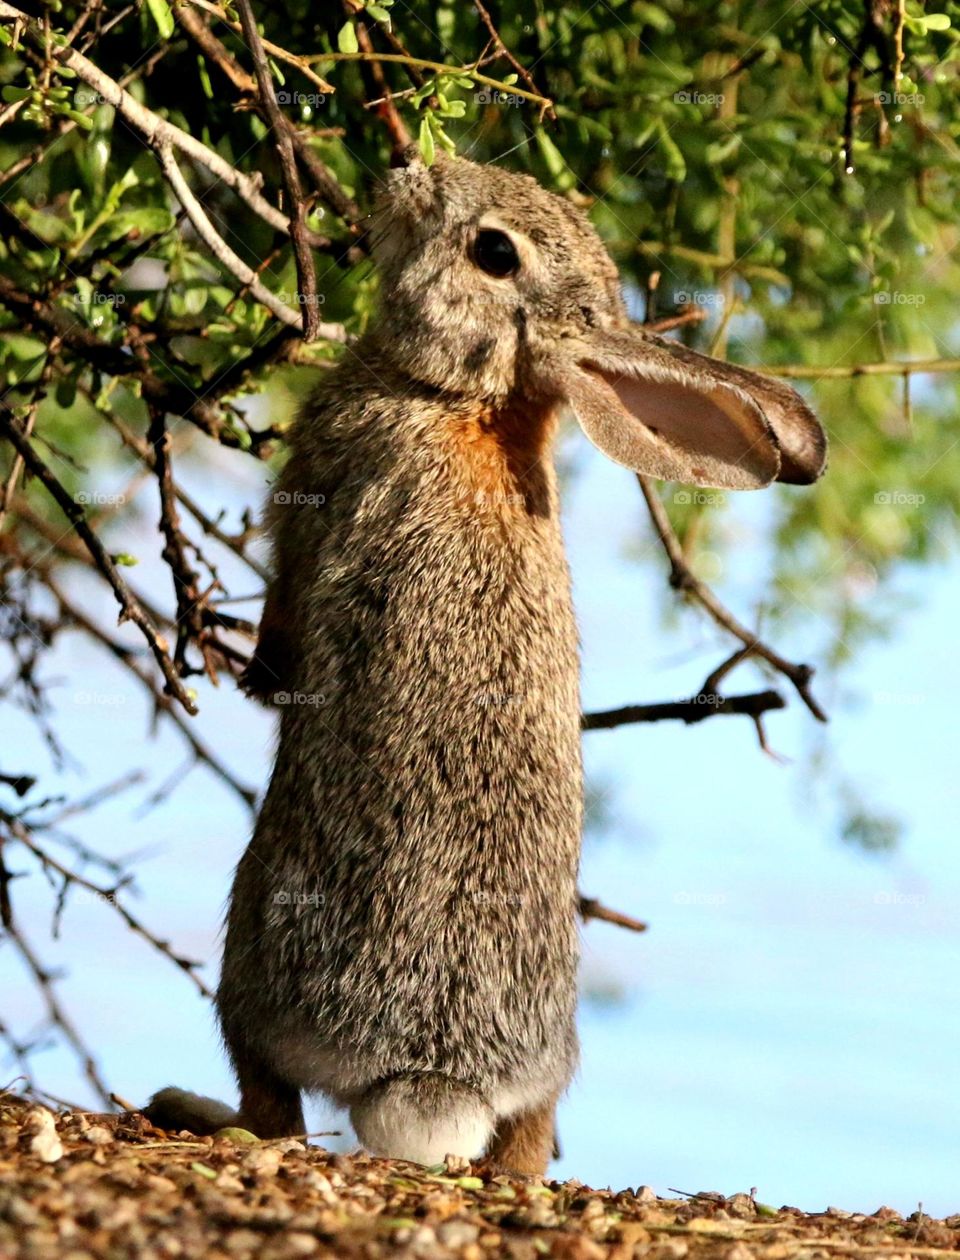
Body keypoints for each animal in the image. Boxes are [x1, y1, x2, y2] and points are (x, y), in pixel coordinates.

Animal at [145, 148, 826, 1174]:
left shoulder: (315, 493)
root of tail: (432, 1074)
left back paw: (190, 1108)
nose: (410, 171)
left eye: (494, 252)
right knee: (525, 1143)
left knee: (273, 1106)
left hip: (250, 957)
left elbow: (288, 590)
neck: (469, 402)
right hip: (549, 1067)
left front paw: (259, 678)